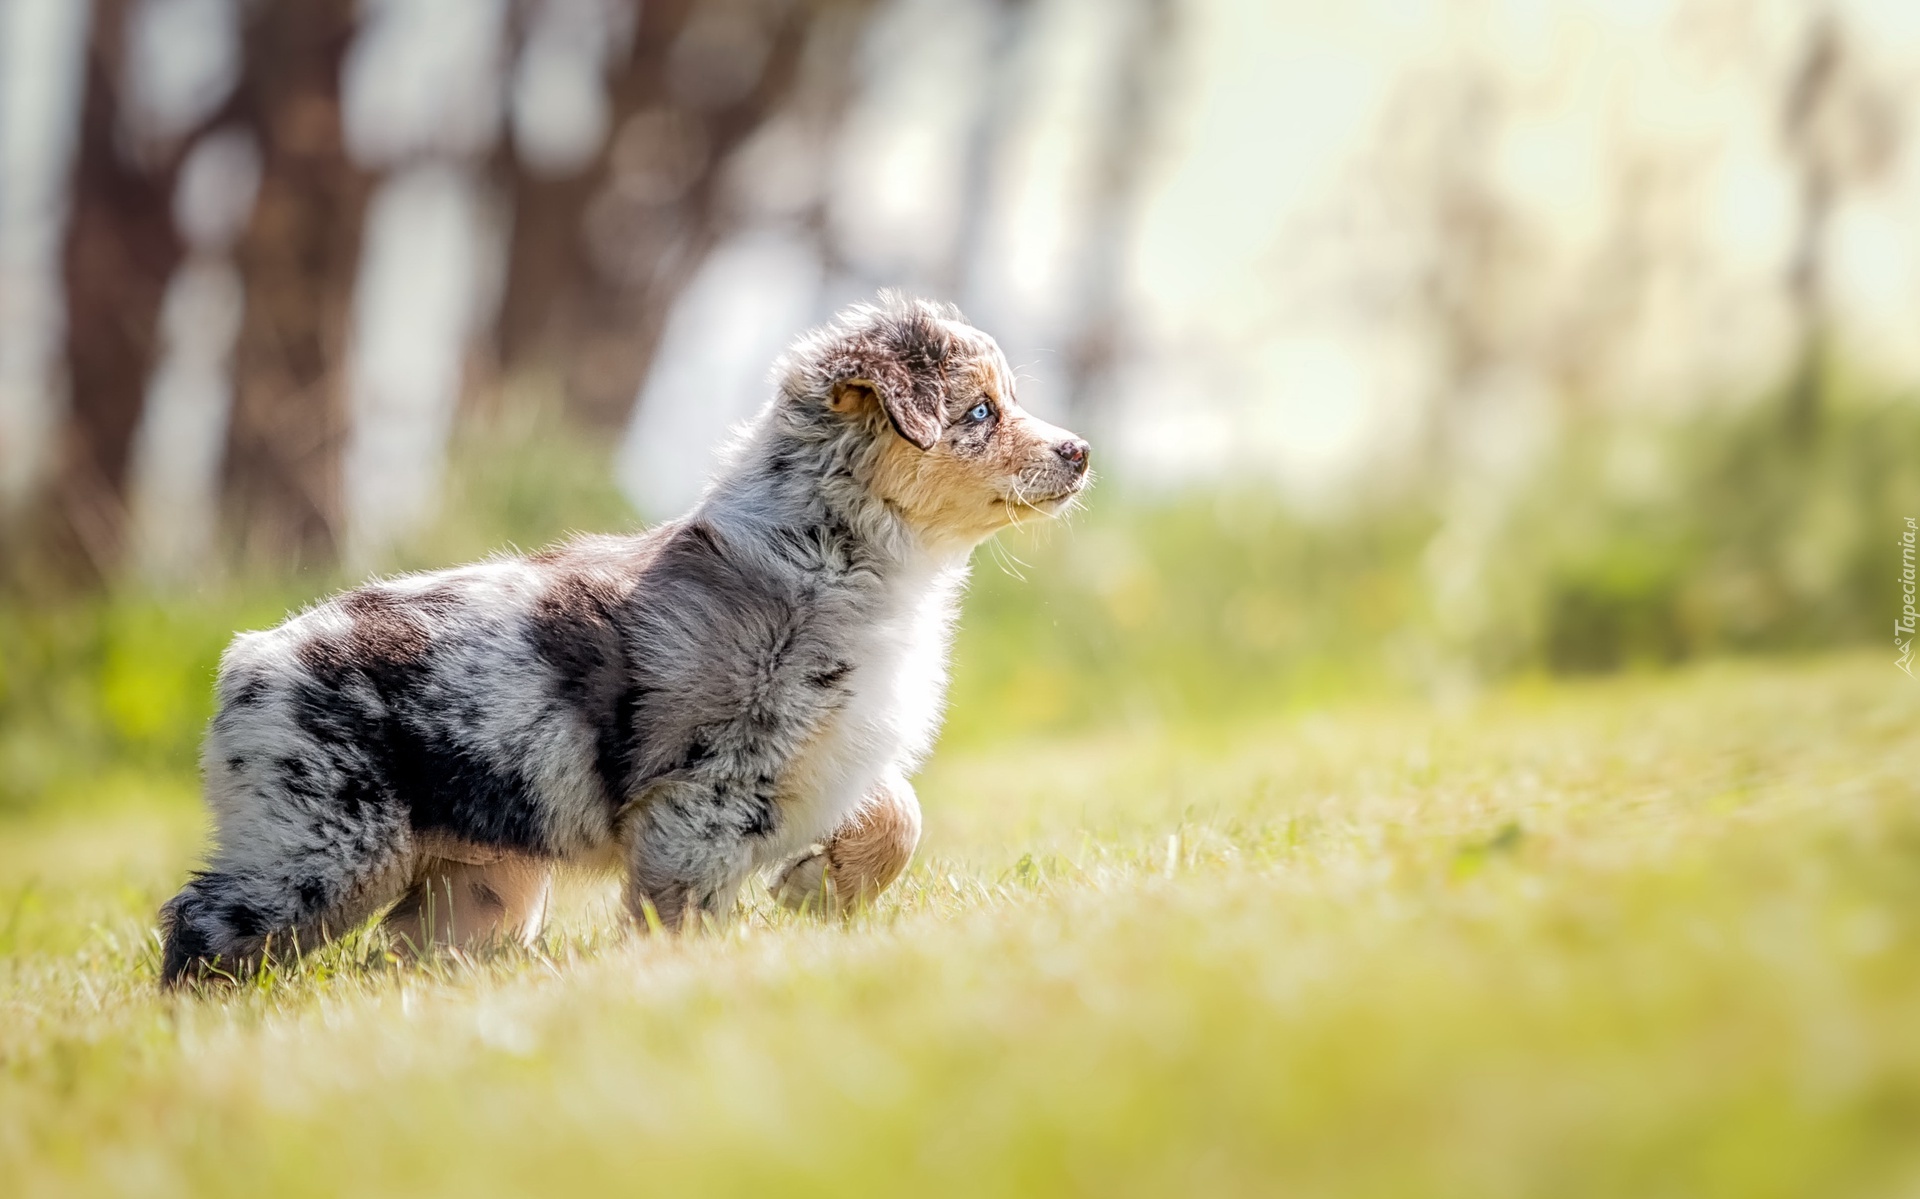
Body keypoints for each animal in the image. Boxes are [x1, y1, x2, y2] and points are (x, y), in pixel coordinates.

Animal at [161, 292, 1098, 983]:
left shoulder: (832, 752)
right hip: (322, 846)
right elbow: (684, 905)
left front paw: (815, 888)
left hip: (479, 886)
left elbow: (899, 813)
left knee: (405, 956)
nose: (1081, 451)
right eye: (979, 410)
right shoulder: (710, 786)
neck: (838, 556)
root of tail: (249, 656)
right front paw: (688, 973)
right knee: (206, 923)